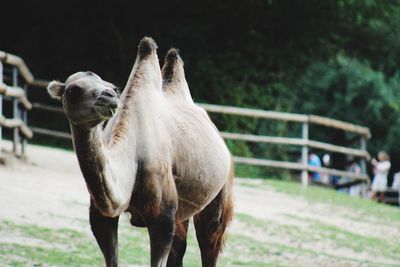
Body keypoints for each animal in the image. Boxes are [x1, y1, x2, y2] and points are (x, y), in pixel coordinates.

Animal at [47, 37, 234, 267]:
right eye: (73, 90)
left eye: (112, 87)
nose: (109, 97)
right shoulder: (101, 216)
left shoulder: (163, 217)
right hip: (183, 210)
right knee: (180, 248)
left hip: (220, 191)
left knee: (210, 239)